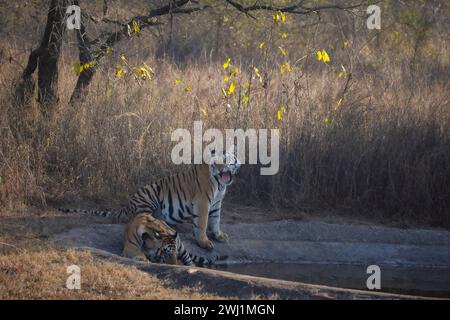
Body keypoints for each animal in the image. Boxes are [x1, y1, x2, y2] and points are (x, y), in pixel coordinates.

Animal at [62, 148, 243, 250]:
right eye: (217, 161)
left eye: (228, 160)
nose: (221, 169)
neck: (220, 184)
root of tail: (126, 206)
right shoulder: (202, 201)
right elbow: (203, 222)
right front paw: (204, 242)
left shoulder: (217, 202)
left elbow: (215, 219)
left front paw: (218, 235)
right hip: (150, 195)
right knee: (139, 219)